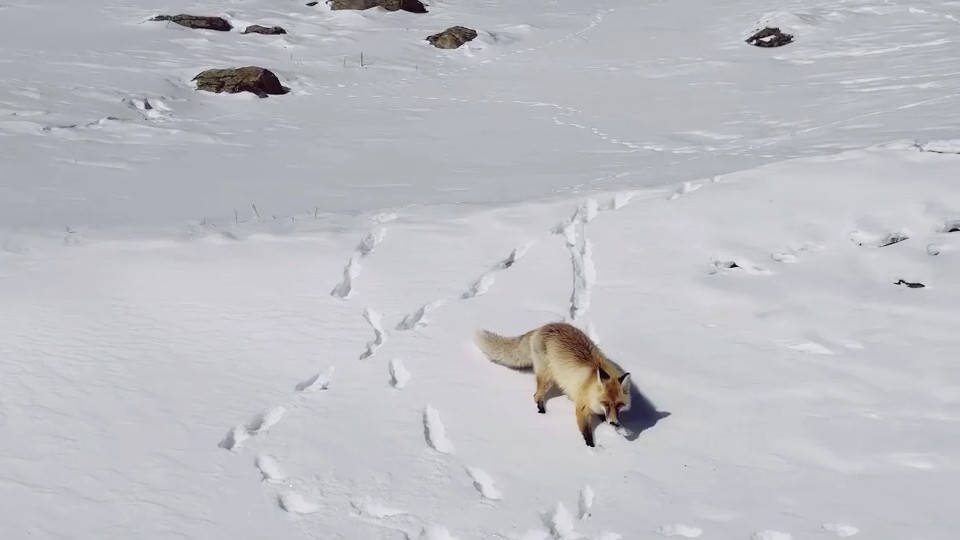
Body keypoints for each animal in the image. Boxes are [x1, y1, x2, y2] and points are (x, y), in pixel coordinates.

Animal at [474, 322, 632, 446]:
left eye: (618, 405)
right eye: (606, 403)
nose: (614, 423)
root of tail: (543, 326)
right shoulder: (582, 407)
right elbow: (586, 432)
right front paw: (591, 449)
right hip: (548, 377)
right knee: (536, 395)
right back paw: (542, 410)